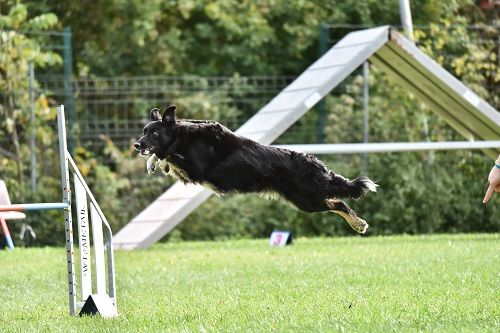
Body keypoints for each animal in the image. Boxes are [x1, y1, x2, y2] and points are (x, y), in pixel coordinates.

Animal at [135, 105, 376, 232]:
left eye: (154, 133)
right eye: (144, 131)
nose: (137, 144)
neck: (185, 137)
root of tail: (315, 163)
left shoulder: (197, 168)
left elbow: (168, 154)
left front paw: (157, 161)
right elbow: (164, 156)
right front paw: (153, 163)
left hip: (308, 200)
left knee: (339, 203)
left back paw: (359, 224)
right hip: (304, 200)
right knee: (336, 202)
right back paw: (358, 224)